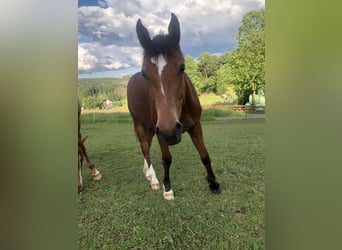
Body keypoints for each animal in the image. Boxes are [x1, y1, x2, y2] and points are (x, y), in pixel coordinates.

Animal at [127, 13, 220, 200]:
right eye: (144, 73)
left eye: (182, 67)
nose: (170, 132)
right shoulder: (161, 132)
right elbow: (166, 159)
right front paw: (167, 188)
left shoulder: (195, 126)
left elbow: (205, 155)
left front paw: (213, 183)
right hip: (140, 124)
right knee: (145, 148)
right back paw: (154, 180)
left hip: (150, 127)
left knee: (146, 146)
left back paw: (147, 173)